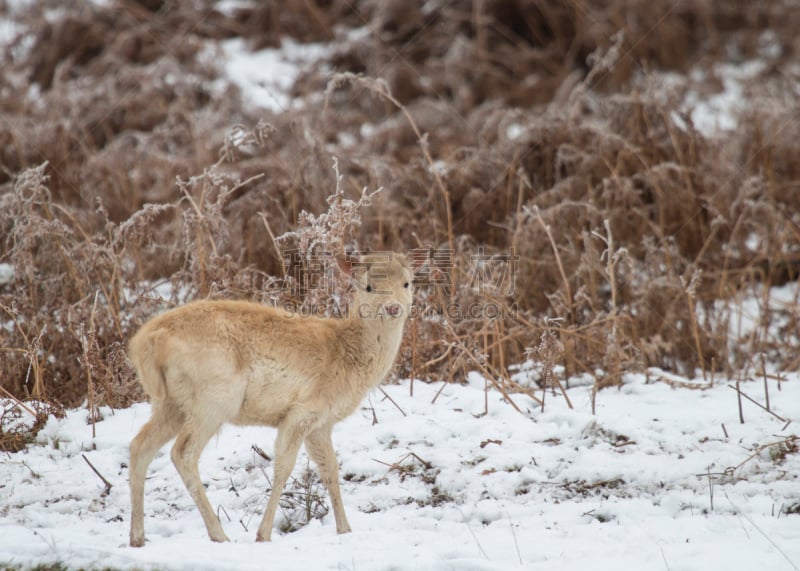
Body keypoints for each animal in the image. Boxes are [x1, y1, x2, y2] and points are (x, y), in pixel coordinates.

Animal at [126, 252, 412, 548]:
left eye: (407, 283)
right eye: (368, 287)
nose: (393, 308)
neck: (347, 357)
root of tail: (145, 342)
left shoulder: (321, 423)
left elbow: (330, 469)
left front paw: (345, 529)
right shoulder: (301, 411)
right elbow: (284, 467)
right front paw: (263, 534)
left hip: (169, 403)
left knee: (140, 446)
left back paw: (137, 536)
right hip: (213, 400)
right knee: (182, 453)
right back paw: (219, 534)